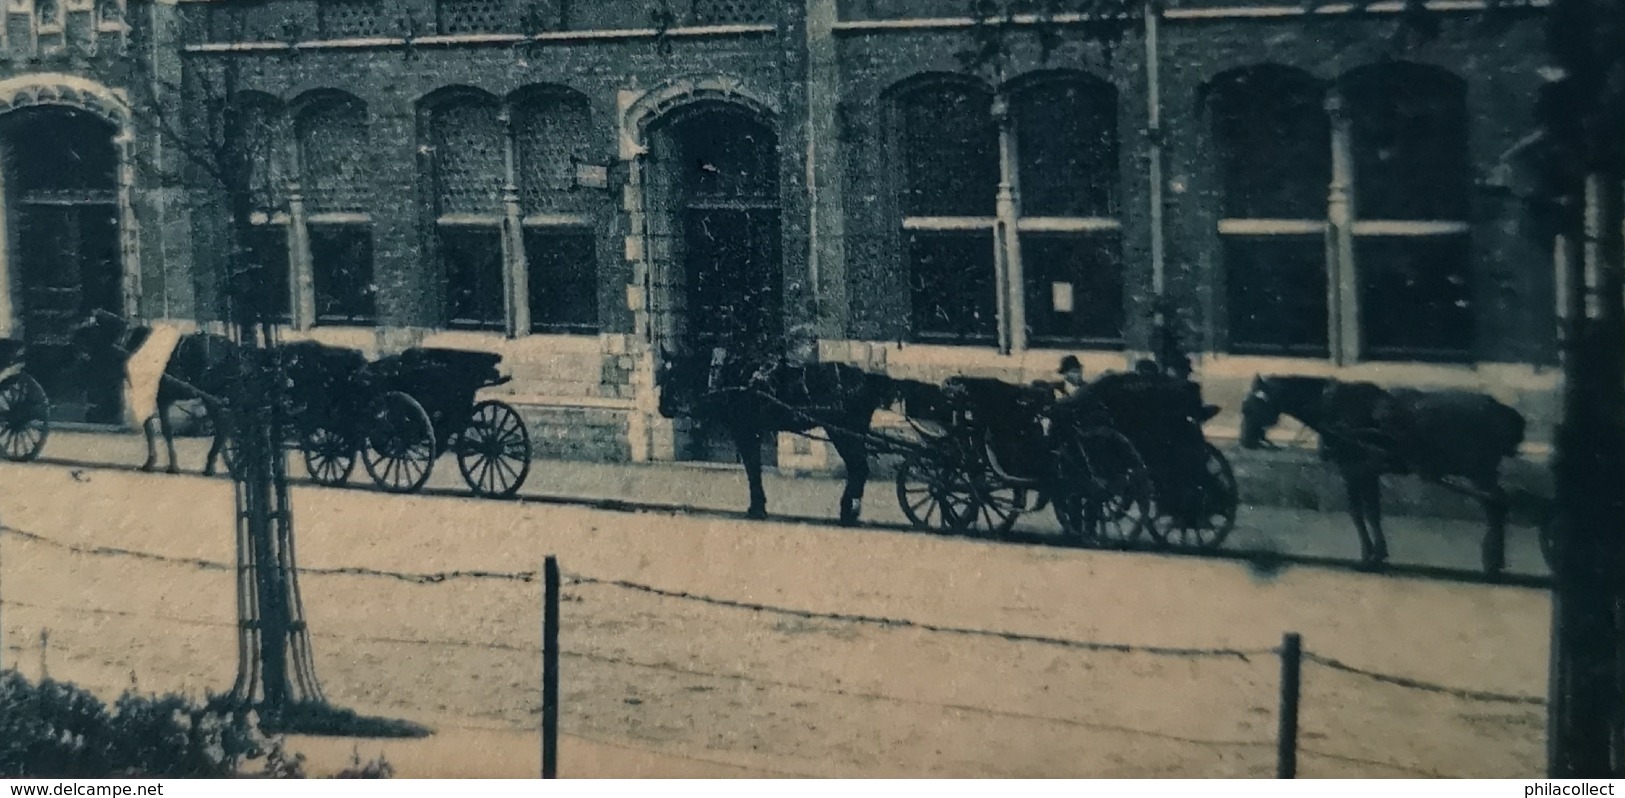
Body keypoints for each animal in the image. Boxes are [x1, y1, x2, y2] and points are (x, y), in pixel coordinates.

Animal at [67, 310, 240, 474]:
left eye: (85, 335)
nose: (74, 377)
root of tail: (232, 349)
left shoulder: (161, 398)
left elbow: (165, 430)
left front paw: (171, 465)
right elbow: (150, 428)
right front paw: (152, 462)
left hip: (213, 396)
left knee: (223, 425)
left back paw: (213, 465)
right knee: (224, 425)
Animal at [653, 347, 903, 523]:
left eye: (673, 376)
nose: (663, 408)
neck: (729, 376)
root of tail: (867, 378)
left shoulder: (744, 430)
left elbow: (753, 469)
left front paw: (756, 508)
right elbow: (754, 469)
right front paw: (759, 506)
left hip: (843, 433)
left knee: (859, 468)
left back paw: (848, 511)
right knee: (859, 469)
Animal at [1235, 375, 1527, 575]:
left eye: (1250, 407)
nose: (1245, 441)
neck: (1334, 409)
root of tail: (1502, 411)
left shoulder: (1355, 470)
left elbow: (1361, 513)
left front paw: (1369, 554)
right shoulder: (1366, 472)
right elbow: (1369, 513)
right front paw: (1377, 552)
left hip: (1480, 471)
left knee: (1495, 505)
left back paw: (1492, 559)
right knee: (1496, 505)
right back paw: (1494, 558)